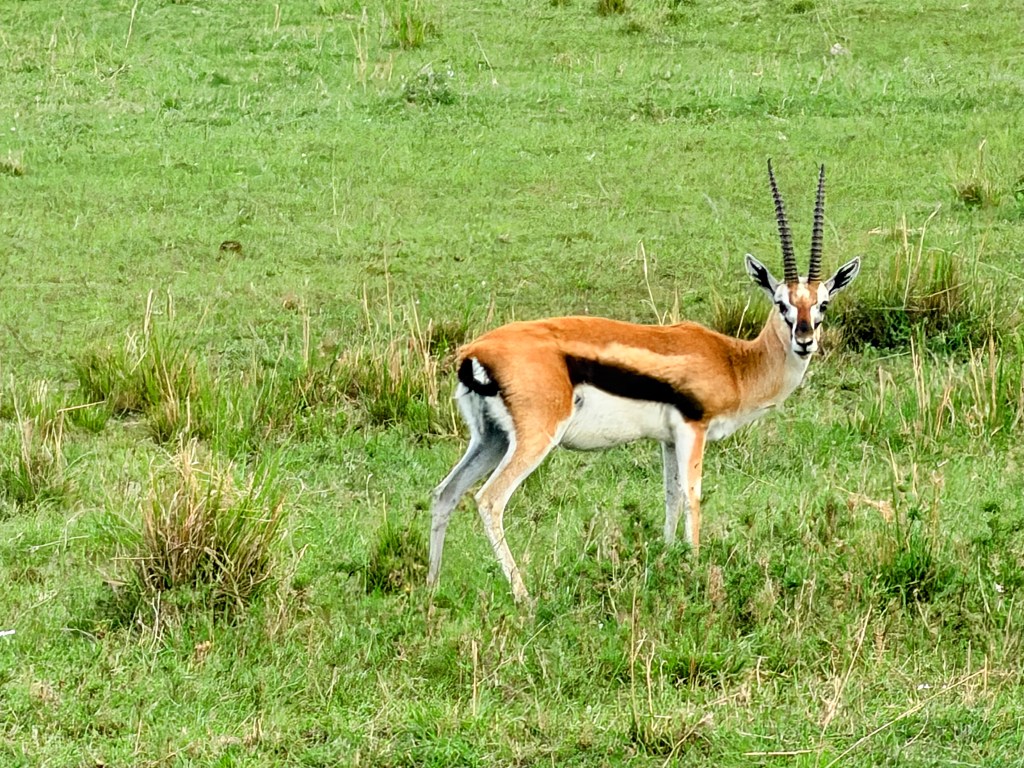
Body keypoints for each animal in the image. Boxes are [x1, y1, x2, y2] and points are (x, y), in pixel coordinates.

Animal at [427, 161, 860, 603]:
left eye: (822, 303)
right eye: (781, 303)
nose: (804, 340)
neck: (734, 362)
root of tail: (475, 352)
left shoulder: (668, 439)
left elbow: (670, 497)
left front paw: (668, 563)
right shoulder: (693, 429)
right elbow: (692, 496)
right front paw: (695, 570)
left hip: (490, 438)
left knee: (446, 492)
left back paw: (431, 590)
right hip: (534, 438)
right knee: (489, 500)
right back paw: (524, 596)